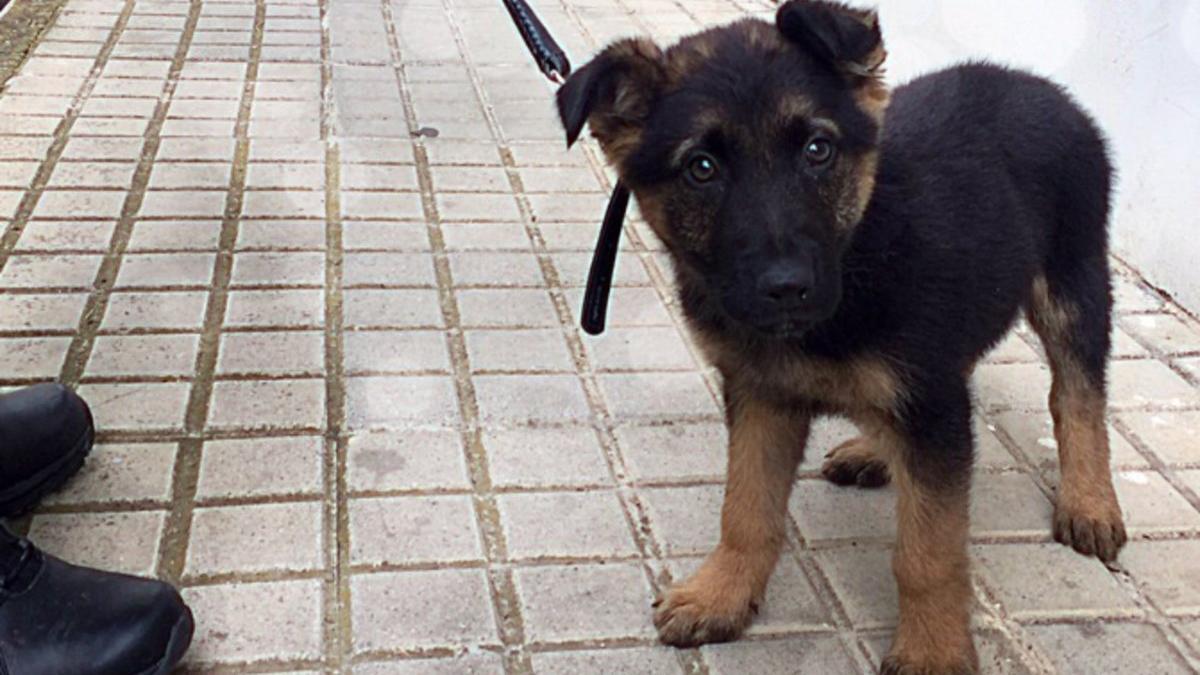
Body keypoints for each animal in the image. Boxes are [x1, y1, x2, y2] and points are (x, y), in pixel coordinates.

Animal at [556, 2, 1128, 667]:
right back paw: (872, 451)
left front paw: (932, 652)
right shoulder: (762, 395)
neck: (857, 250)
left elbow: (927, 553)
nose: (786, 287)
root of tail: (1041, 86)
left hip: (1072, 282)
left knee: (1077, 397)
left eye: (817, 149)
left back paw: (1089, 500)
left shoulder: (930, 403)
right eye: (701, 168)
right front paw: (722, 595)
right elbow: (745, 509)